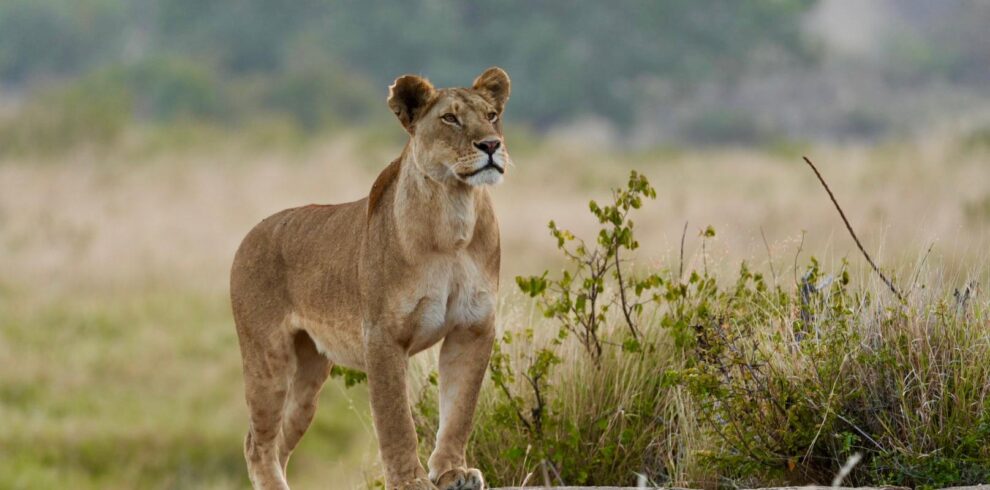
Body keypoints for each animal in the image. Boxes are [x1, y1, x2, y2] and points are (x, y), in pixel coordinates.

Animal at [230, 67, 511, 490]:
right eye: (450, 118)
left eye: (492, 115)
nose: (492, 144)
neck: (454, 214)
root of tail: (251, 233)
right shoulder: (382, 335)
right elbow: (395, 419)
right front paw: (410, 481)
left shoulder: (473, 328)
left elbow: (459, 409)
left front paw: (452, 472)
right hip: (269, 359)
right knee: (256, 445)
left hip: (308, 380)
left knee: (278, 443)